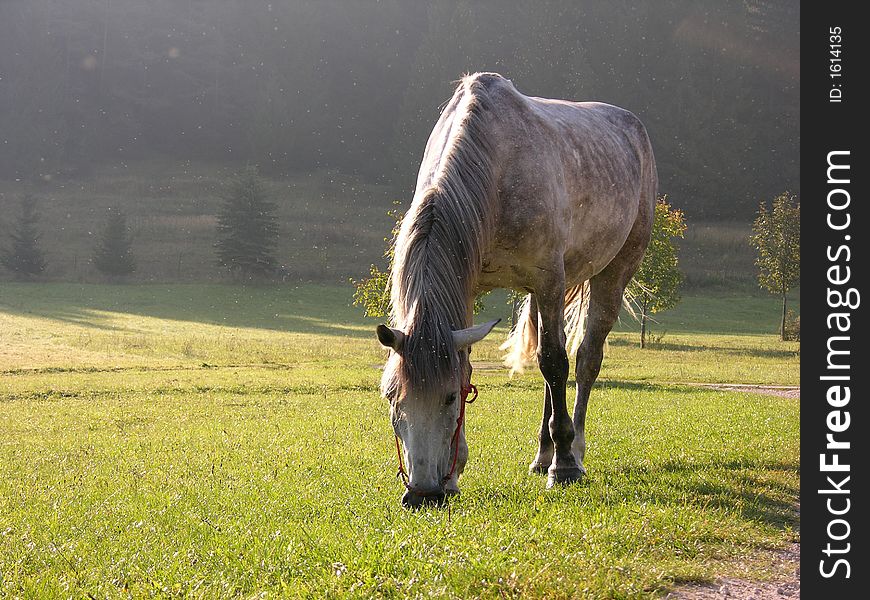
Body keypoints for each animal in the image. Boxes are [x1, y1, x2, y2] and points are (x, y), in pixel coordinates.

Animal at [374, 72, 656, 508]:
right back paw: (543, 454)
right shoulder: (472, 291)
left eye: (449, 398)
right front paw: (455, 473)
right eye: (392, 398)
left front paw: (564, 467)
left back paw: (572, 451)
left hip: (612, 272)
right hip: (539, 296)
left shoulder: (550, 279)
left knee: (584, 360)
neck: (495, 169)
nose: (423, 494)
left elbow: (556, 362)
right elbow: (477, 366)